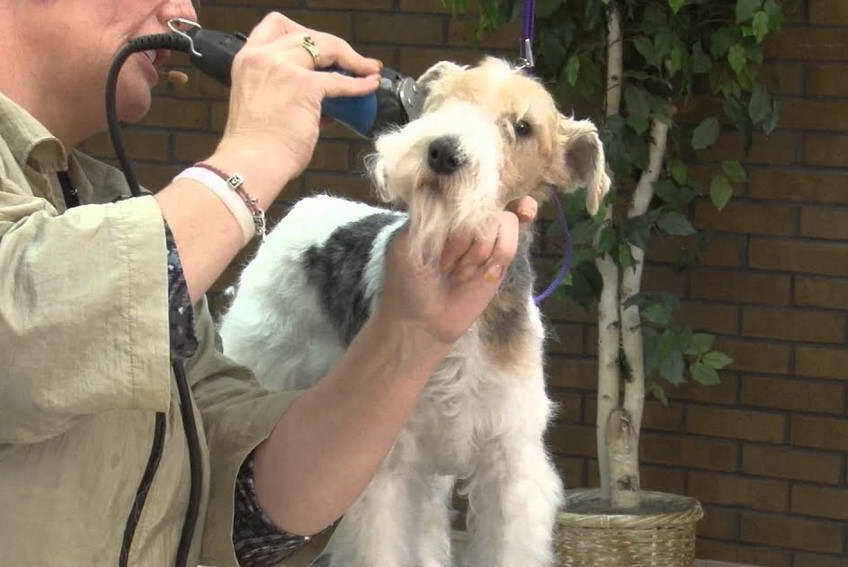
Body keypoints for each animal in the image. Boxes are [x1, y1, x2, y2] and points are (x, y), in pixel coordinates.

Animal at [219, 57, 608, 567]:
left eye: (523, 127)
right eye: (444, 98)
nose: (443, 152)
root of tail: (307, 207)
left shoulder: (509, 464)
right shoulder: (388, 465)